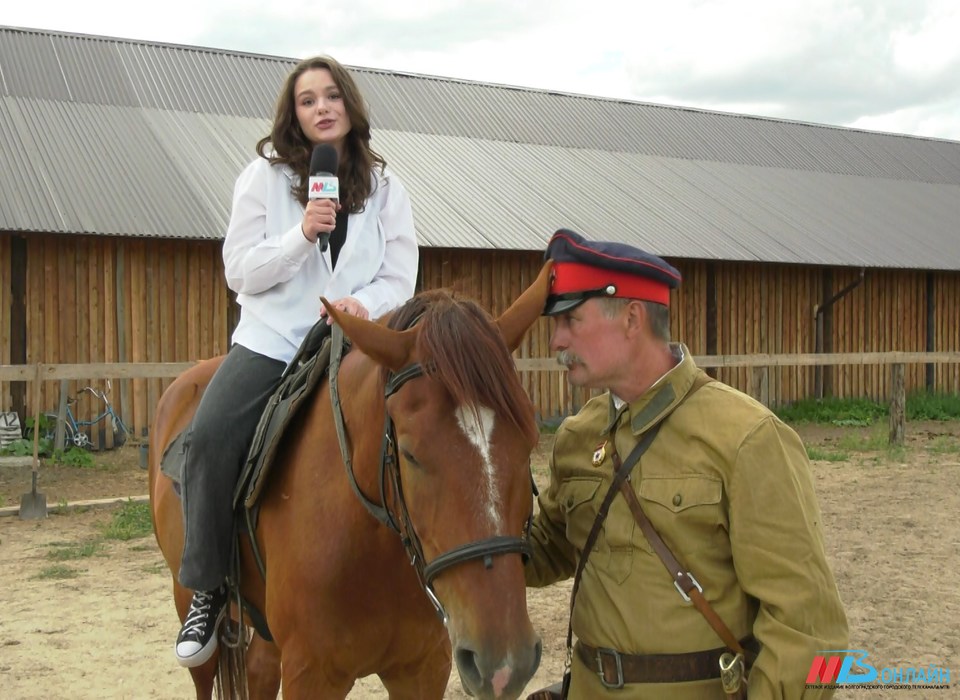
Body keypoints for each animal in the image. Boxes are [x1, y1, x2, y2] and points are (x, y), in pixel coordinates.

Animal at [147, 264, 552, 700]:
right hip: (188, 603)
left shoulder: (424, 668)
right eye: (410, 453)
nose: (505, 664)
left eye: (529, 441)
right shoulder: (311, 675)